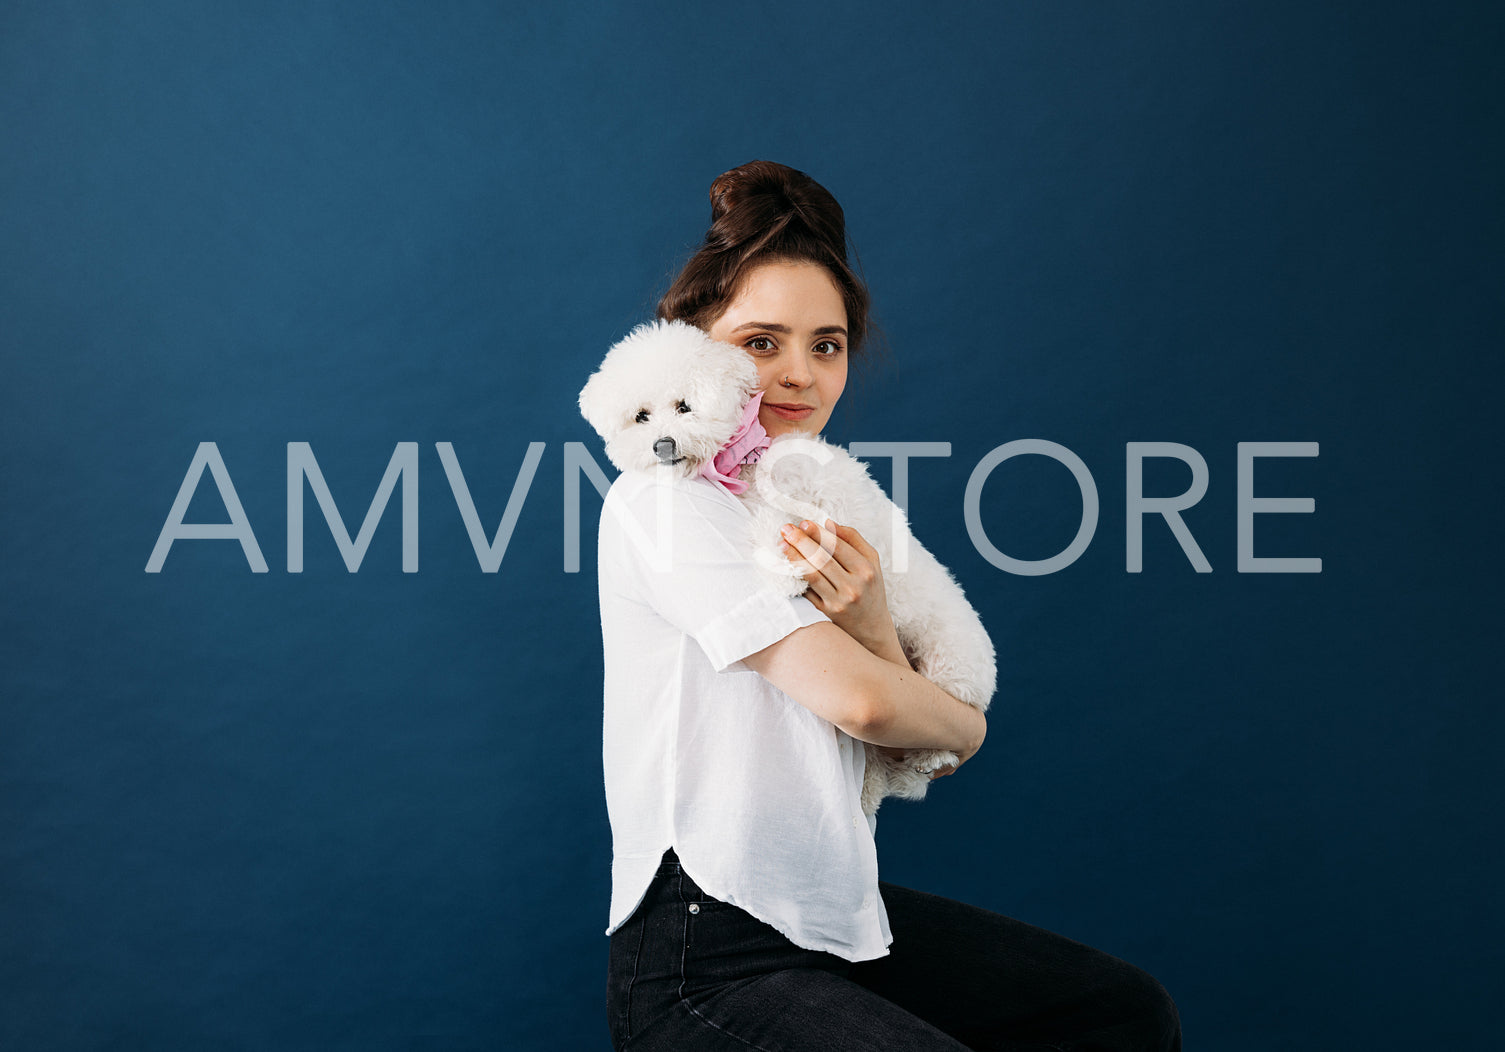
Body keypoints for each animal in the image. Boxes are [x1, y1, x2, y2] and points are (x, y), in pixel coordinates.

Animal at [580, 319, 993, 812]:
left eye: (684, 406)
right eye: (640, 416)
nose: (663, 446)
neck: (745, 462)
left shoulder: (821, 509)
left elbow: (780, 521)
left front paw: (783, 571)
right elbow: (767, 522)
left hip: (949, 665)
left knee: (944, 728)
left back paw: (930, 757)